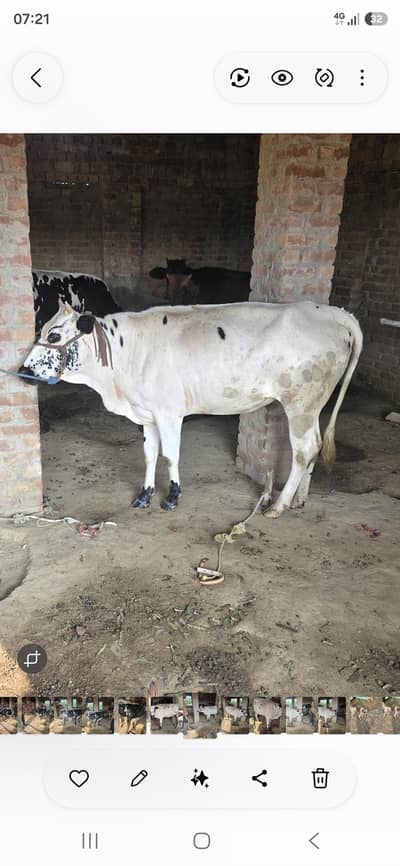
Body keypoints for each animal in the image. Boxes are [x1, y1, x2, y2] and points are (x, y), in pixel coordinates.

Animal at [19, 299, 363, 515]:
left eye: (54, 334)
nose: (23, 370)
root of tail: (335, 313)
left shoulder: (169, 412)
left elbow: (170, 455)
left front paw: (172, 497)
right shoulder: (147, 413)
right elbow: (149, 454)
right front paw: (144, 495)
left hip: (300, 402)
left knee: (303, 450)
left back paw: (279, 505)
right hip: (312, 405)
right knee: (314, 445)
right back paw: (300, 498)